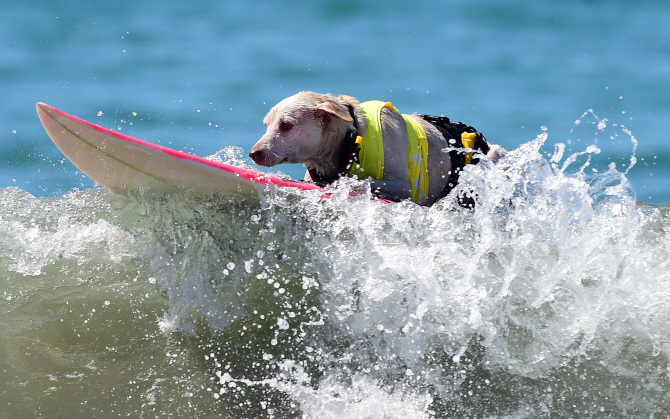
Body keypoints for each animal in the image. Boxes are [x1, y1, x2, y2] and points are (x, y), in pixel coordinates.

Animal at [251, 92, 504, 207]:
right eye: (266, 125)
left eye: (286, 125)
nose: (254, 154)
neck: (351, 143)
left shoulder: (404, 188)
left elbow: (363, 182)